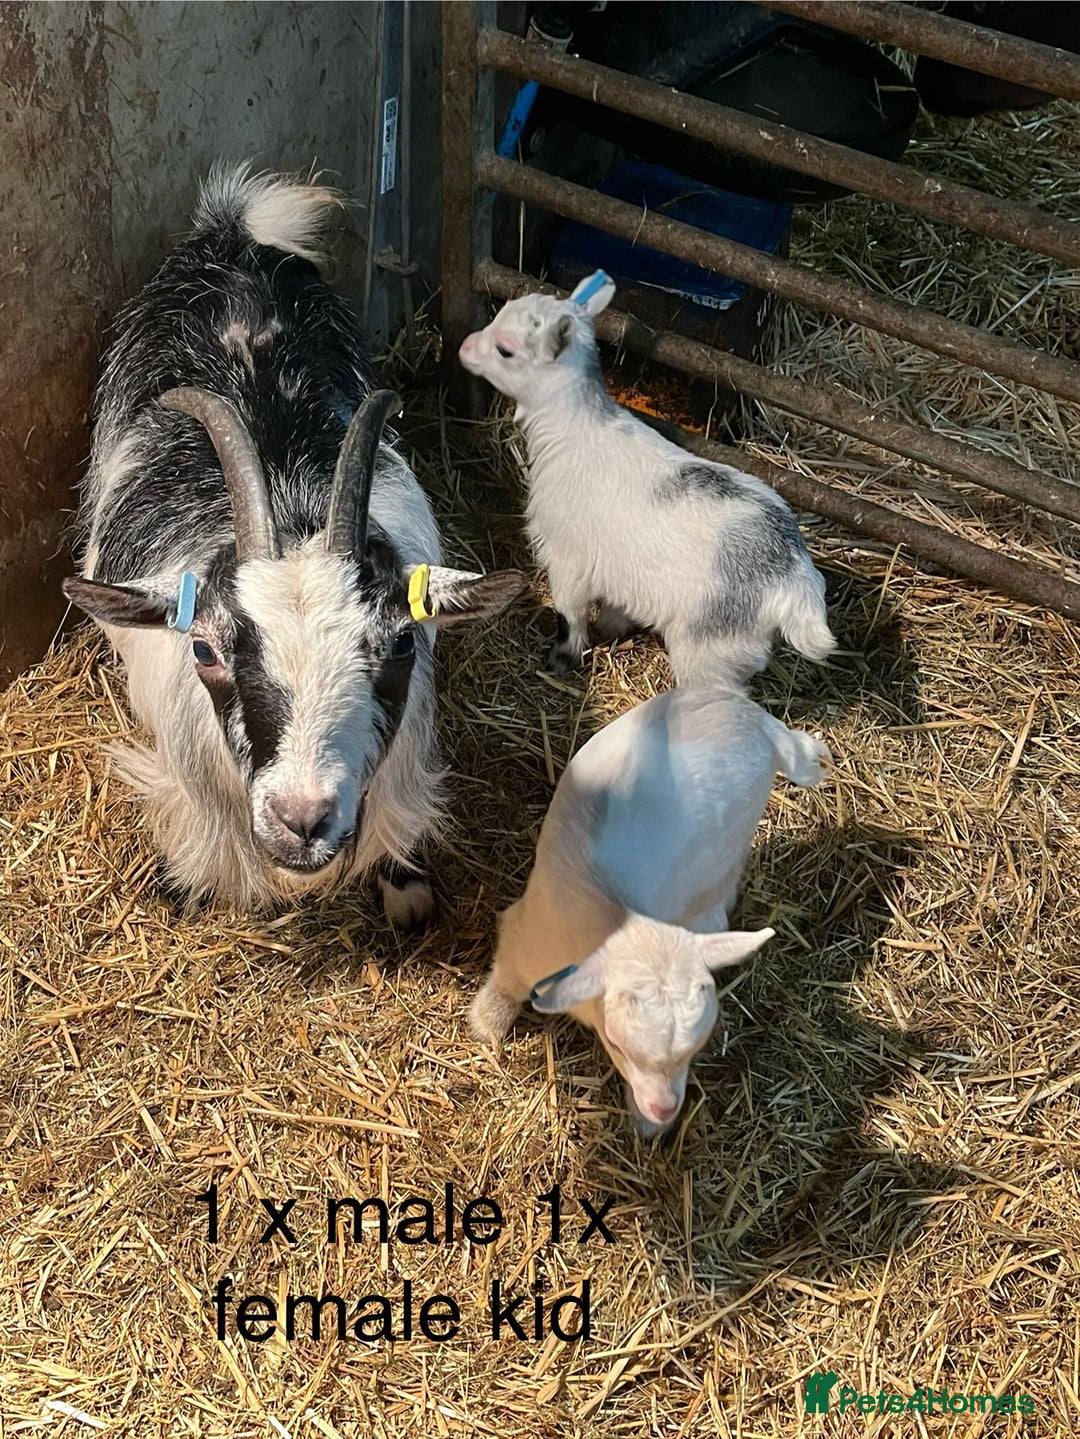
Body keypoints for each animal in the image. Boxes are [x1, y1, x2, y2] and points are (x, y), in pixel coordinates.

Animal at [64, 164, 524, 923]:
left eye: (403, 642)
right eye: (204, 650)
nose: (302, 819)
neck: (290, 512)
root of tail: (232, 235)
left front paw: (407, 888)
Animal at [458, 272, 836, 688]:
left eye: (505, 350)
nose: (464, 347)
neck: (574, 428)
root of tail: (796, 582)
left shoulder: (567, 556)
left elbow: (570, 615)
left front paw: (561, 659)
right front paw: (611, 630)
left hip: (710, 647)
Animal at [469, 687, 829, 1135]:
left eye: (698, 1046)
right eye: (616, 1043)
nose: (663, 1109)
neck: (617, 916)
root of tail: (763, 725)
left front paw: (646, 1126)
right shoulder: (523, 939)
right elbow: (506, 986)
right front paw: (486, 1025)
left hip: (732, 842)